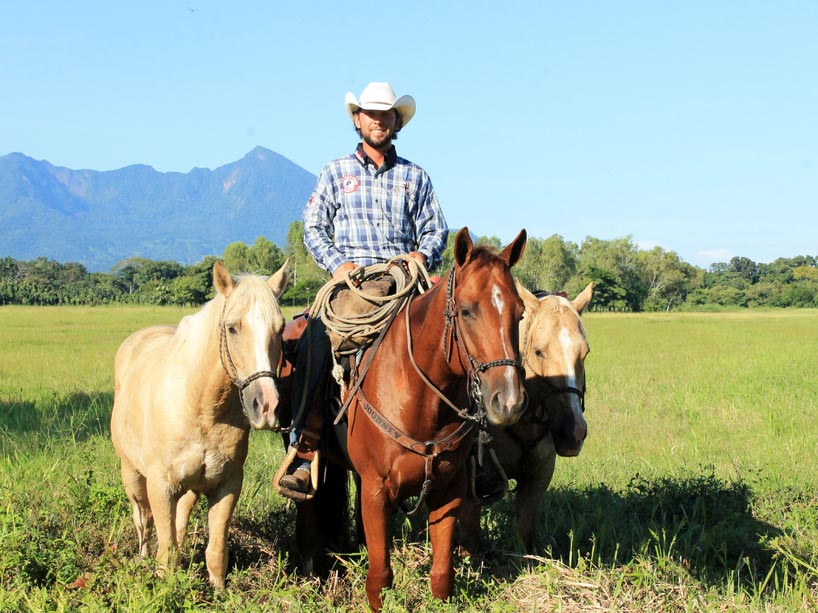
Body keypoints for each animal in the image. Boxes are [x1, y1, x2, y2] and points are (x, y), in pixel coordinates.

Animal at [111, 260, 290, 588]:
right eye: (232, 327)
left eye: (280, 328)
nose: (267, 406)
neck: (202, 409)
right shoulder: (160, 485)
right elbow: (166, 550)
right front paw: (166, 589)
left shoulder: (226, 484)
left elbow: (215, 550)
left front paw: (218, 592)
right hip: (131, 474)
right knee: (143, 520)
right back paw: (142, 561)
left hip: (191, 486)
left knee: (179, 522)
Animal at [342, 227, 524, 608]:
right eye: (467, 311)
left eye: (520, 313)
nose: (509, 401)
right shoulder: (375, 490)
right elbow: (379, 577)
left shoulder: (449, 488)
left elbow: (441, 575)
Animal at [460, 280, 592, 552]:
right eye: (539, 351)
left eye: (585, 353)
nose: (574, 432)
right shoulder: (470, 486)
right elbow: (470, 537)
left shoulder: (539, 477)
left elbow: (525, 532)